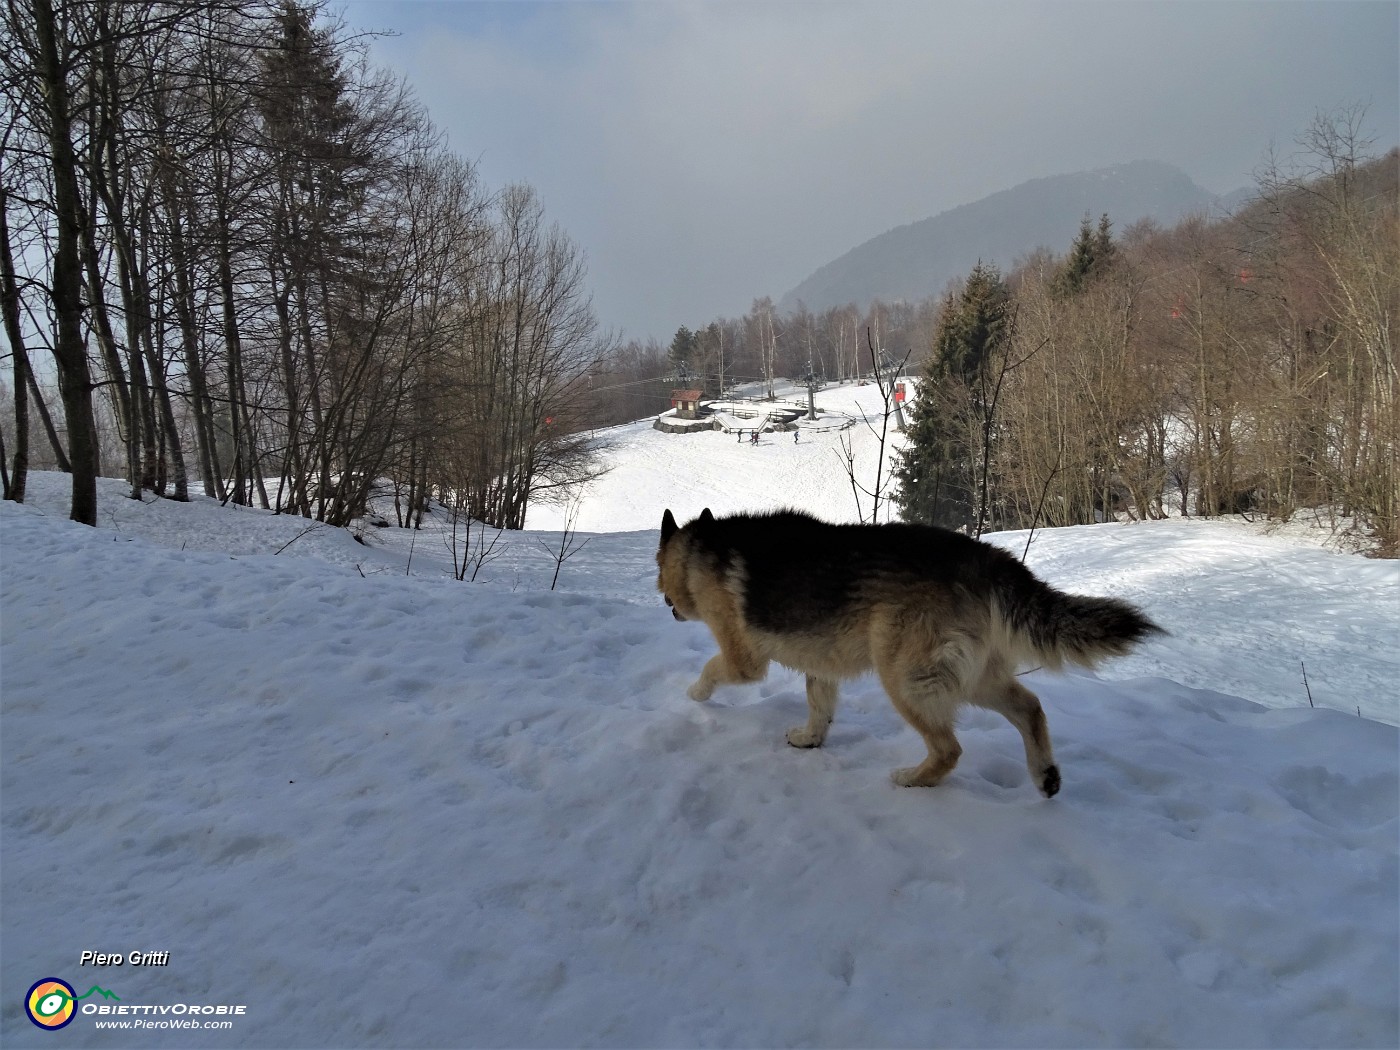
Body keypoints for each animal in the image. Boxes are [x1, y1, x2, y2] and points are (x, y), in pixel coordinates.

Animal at [655, 509, 1159, 795]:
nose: (668, 607)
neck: (699, 548)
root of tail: (984, 557)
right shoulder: (821, 666)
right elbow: (819, 708)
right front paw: (810, 740)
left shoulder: (744, 661)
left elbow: (710, 670)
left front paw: (694, 695)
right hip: (972, 678)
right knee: (1030, 709)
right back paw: (1045, 776)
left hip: (905, 680)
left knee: (950, 749)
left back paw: (914, 780)